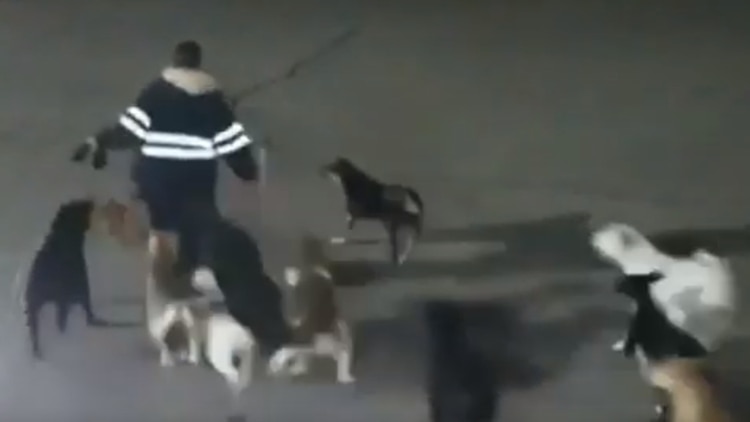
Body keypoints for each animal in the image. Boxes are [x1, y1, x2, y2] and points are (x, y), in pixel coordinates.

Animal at [24, 199, 106, 358]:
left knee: (34, 329)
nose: (91, 201)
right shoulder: (81, 283)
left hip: (34, 302)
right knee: (64, 320)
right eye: (80, 207)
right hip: (66, 295)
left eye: (75, 203)